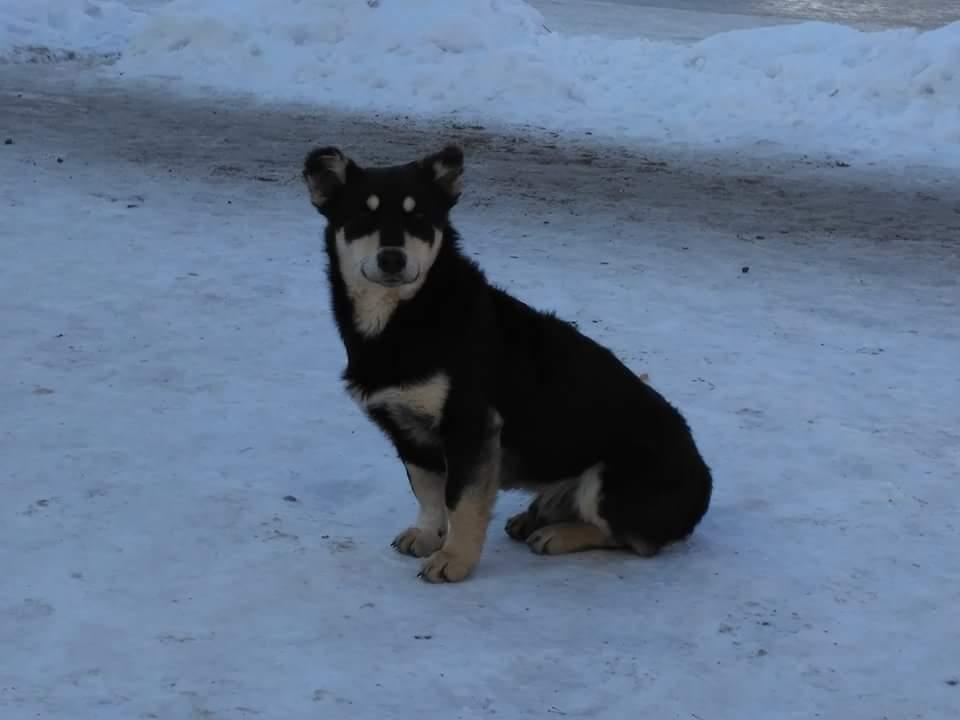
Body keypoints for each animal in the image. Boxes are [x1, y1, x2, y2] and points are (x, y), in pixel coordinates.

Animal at [302, 143, 712, 584]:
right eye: (363, 215)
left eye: (420, 218)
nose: (393, 259)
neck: (408, 317)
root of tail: (705, 485)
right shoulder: (406, 430)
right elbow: (427, 491)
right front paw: (428, 535)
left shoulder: (470, 424)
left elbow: (460, 500)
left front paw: (455, 559)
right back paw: (534, 518)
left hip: (611, 479)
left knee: (632, 539)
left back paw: (558, 534)